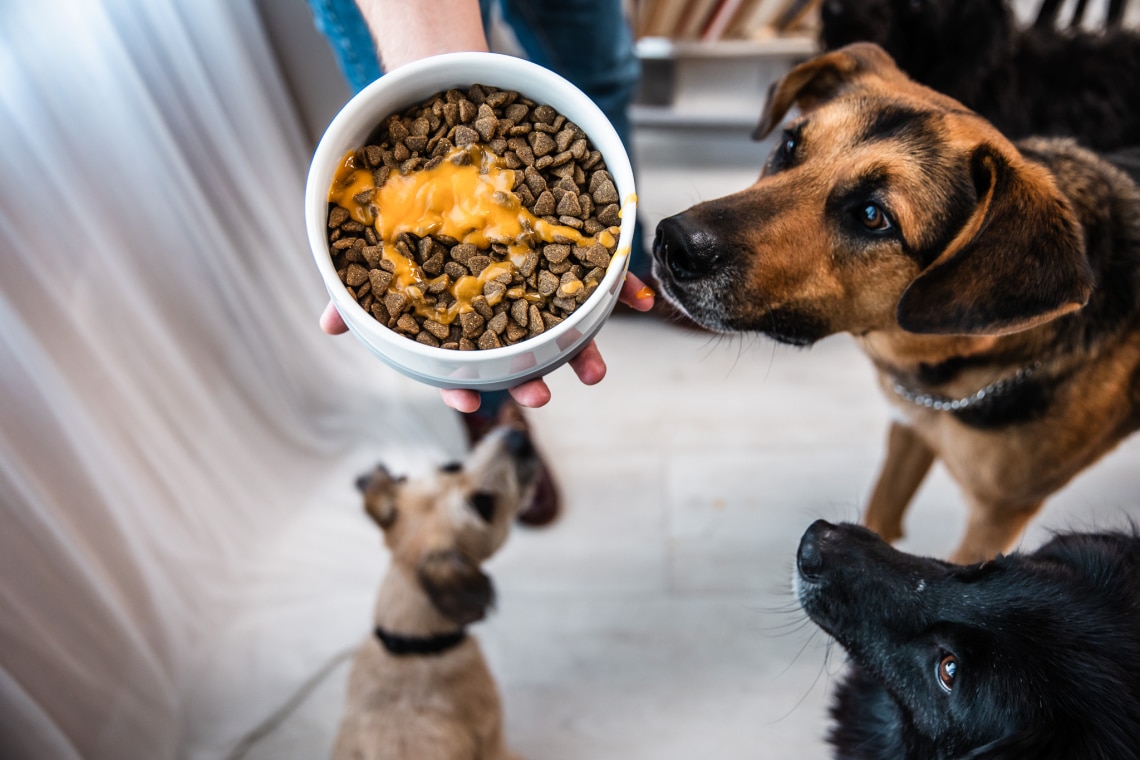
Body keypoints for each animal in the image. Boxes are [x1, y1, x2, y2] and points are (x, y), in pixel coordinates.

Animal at [652, 43, 1140, 565]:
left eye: (873, 216)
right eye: (789, 146)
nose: (672, 243)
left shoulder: (997, 516)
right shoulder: (908, 430)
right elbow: (879, 516)